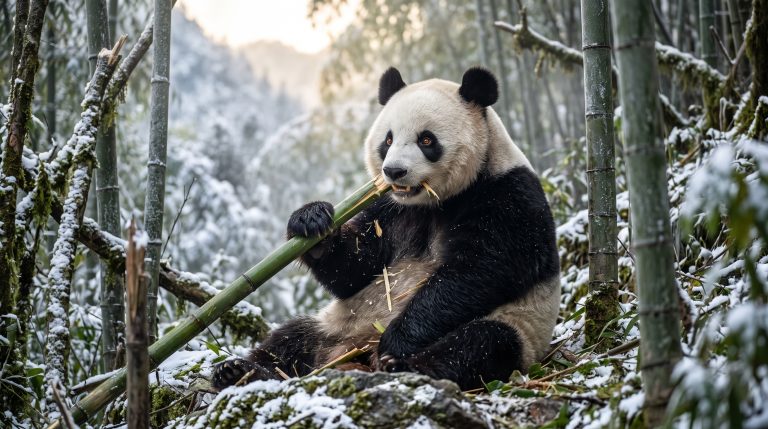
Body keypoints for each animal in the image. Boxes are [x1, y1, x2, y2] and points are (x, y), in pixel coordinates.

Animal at [212, 67, 560, 391]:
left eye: (426, 140)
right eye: (388, 139)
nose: (393, 171)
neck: (434, 202)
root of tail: (351, 352)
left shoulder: (507, 196)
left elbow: (482, 269)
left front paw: (398, 338)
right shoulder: (388, 208)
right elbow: (355, 270)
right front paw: (311, 220)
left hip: (519, 327)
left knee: (480, 344)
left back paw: (401, 364)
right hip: (339, 323)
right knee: (291, 338)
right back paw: (239, 371)